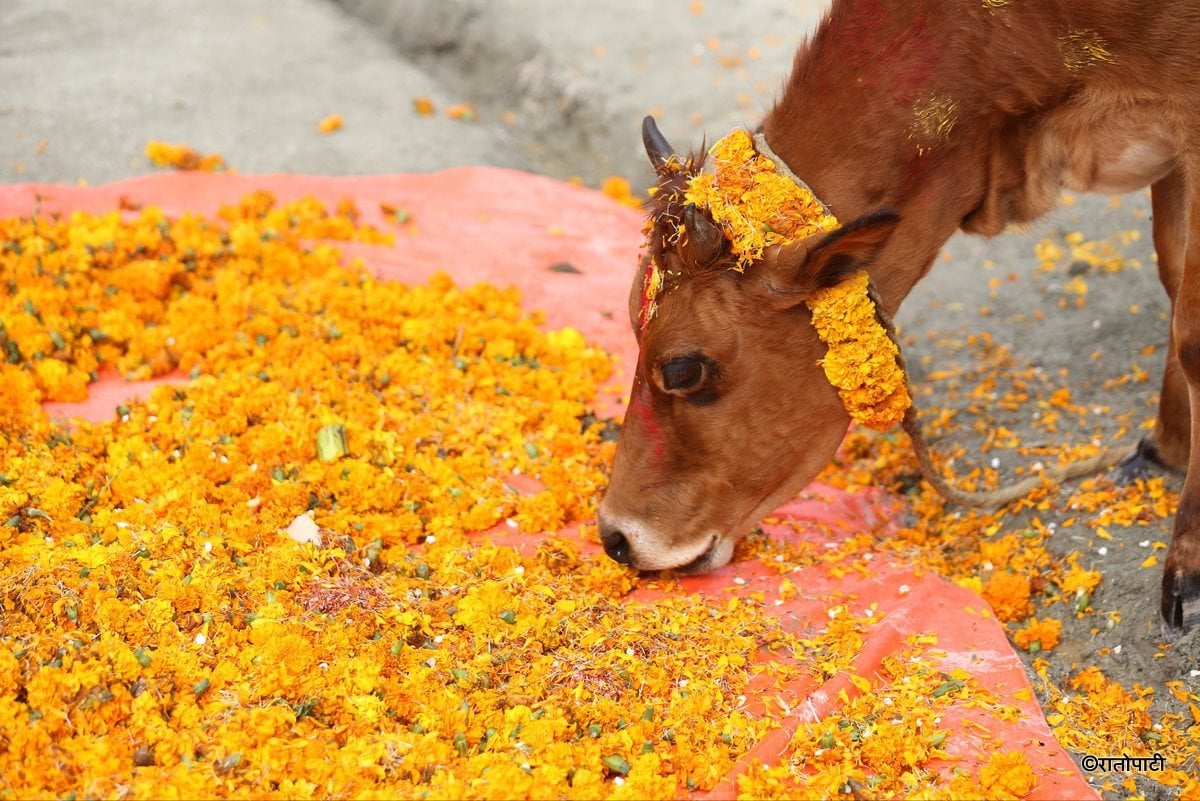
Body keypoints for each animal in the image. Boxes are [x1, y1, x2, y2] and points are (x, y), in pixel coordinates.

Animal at [600, 1, 1200, 637]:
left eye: (683, 369)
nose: (613, 538)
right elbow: (1172, 273)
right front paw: (1167, 444)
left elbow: (1191, 331)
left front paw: (1186, 565)